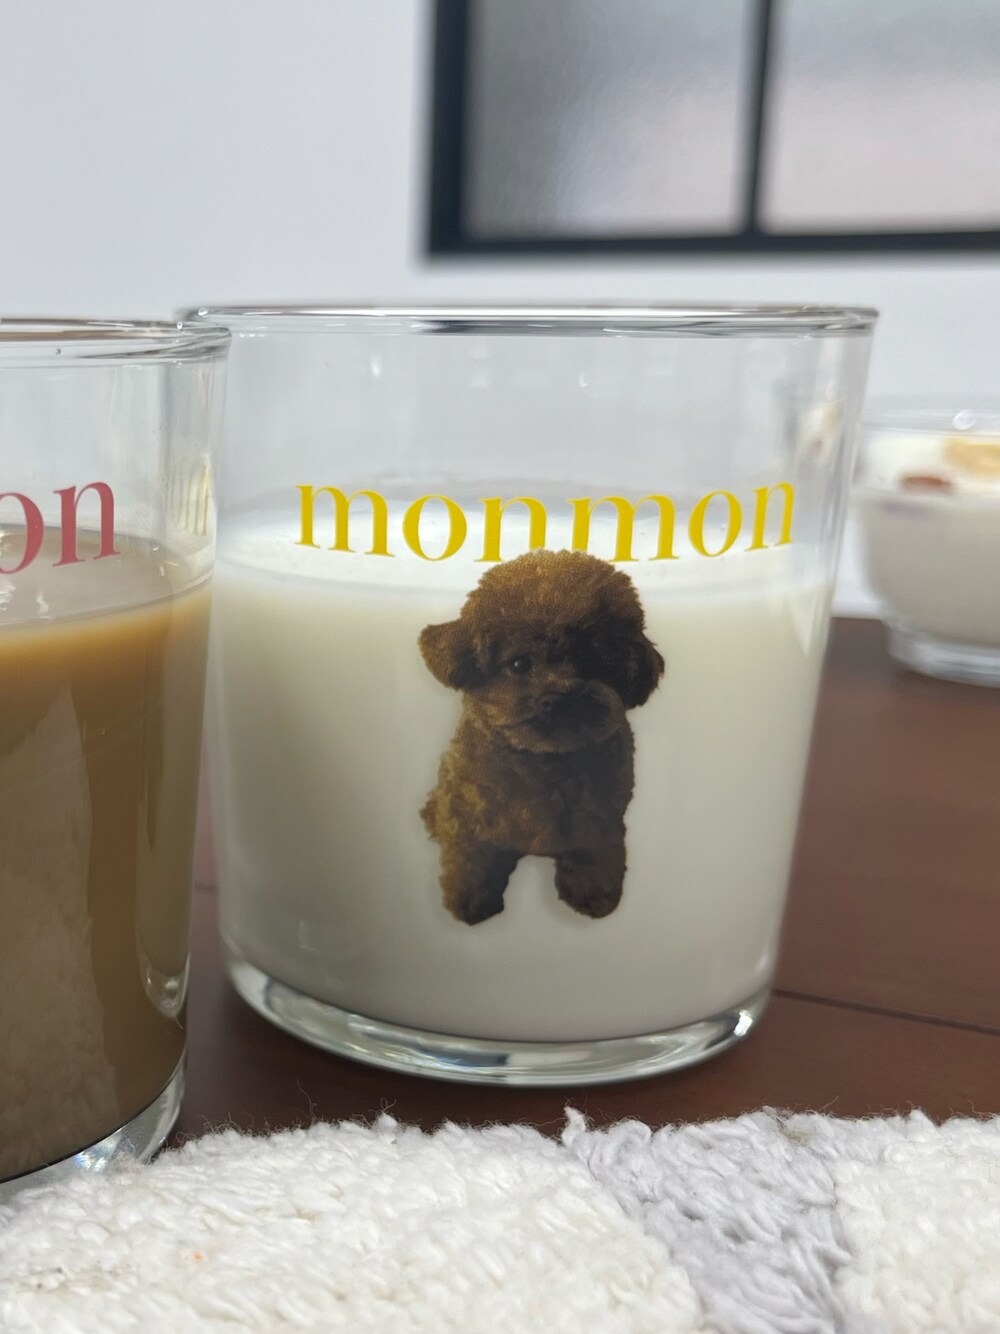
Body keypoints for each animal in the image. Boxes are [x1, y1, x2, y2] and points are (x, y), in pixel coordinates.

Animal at [419, 549, 665, 924]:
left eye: (594, 662)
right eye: (520, 664)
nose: (559, 697)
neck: (543, 763)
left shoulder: (600, 821)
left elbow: (596, 860)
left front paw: (595, 898)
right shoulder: (470, 821)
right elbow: (472, 864)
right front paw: (471, 905)